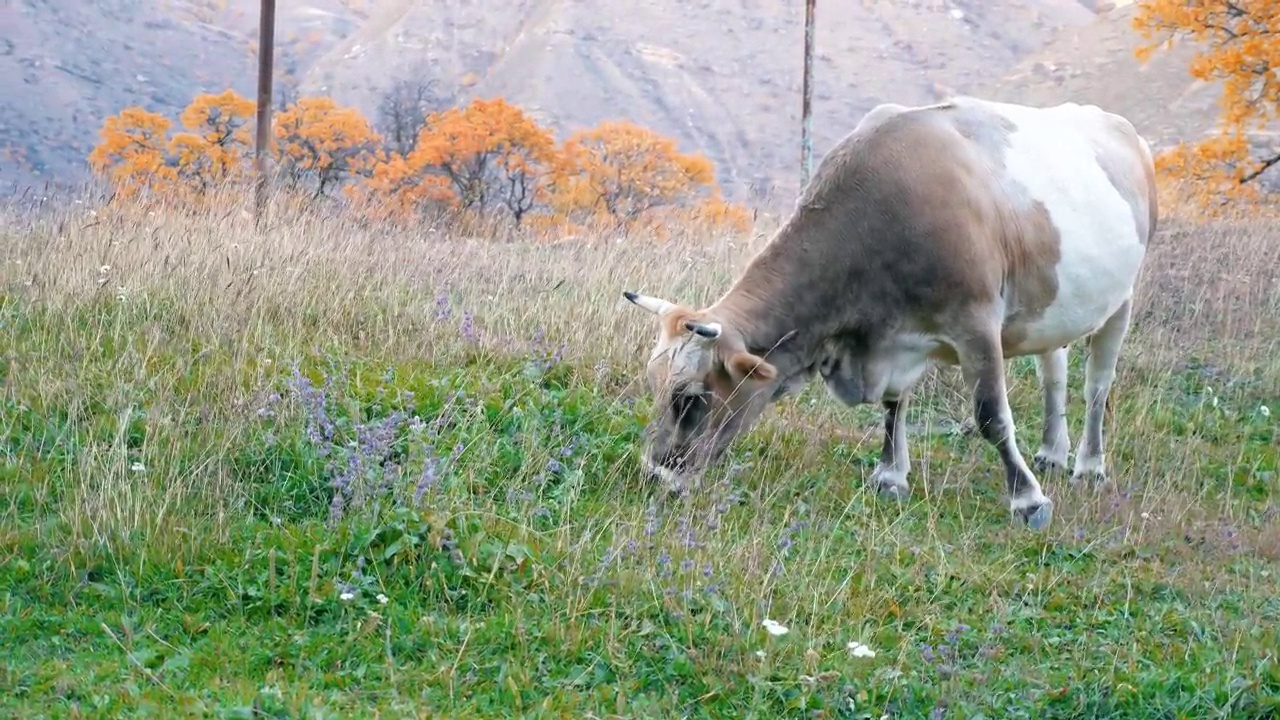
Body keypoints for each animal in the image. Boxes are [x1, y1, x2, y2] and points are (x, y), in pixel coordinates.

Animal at [619, 95, 1162, 530]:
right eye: (655, 386)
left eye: (691, 399)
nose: (654, 474)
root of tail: (1115, 123)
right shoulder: (895, 335)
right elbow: (893, 404)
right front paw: (891, 475)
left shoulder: (976, 323)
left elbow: (991, 416)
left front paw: (1027, 500)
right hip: (1051, 307)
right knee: (1055, 369)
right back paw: (1052, 451)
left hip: (1124, 296)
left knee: (1098, 383)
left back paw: (1088, 464)